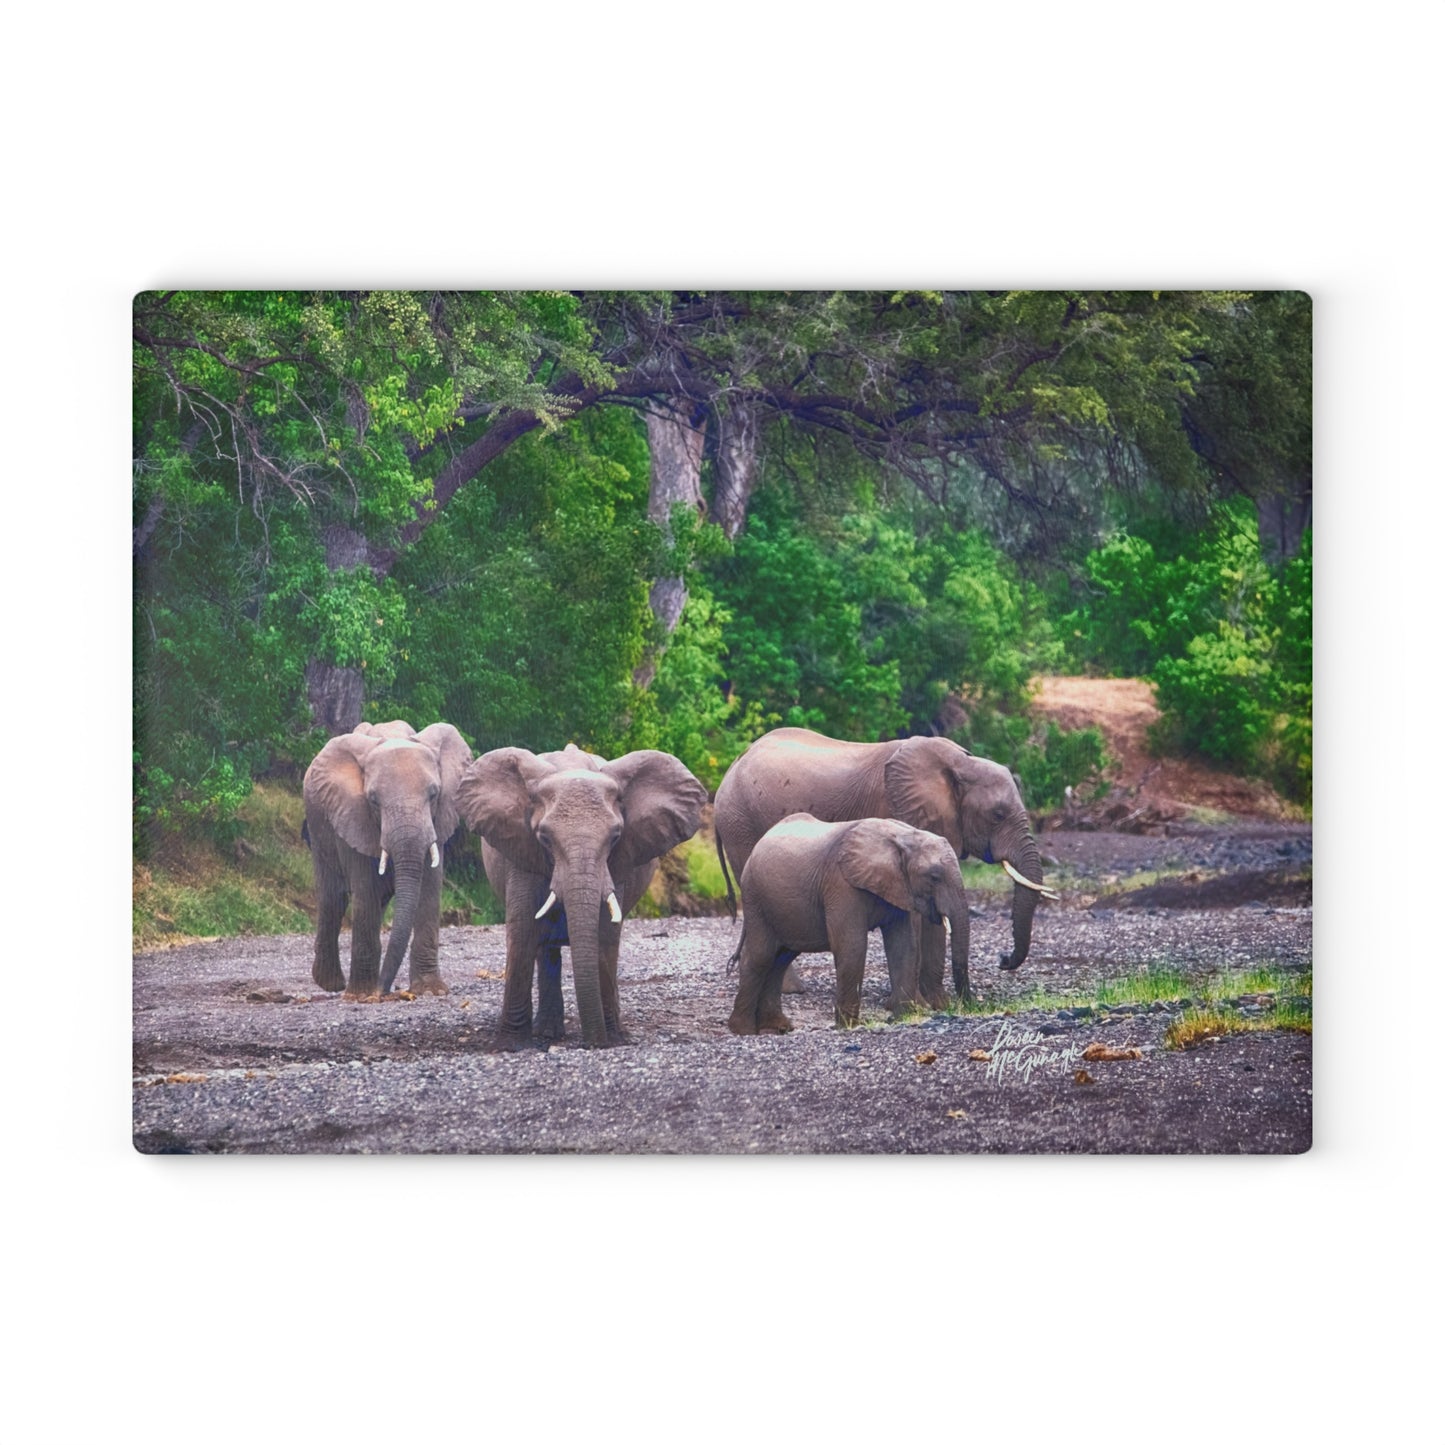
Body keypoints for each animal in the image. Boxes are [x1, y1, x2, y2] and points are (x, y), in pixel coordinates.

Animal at [303, 720, 472, 1000]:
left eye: (434, 794)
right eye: (373, 800)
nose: (382, 991)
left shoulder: (437, 821)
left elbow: (429, 891)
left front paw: (430, 991)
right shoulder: (354, 816)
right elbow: (366, 893)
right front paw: (362, 996)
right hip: (317, 826)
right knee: (334, 899)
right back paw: (332, 984)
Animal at [458, 744, 707, 1049]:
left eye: (615, 837)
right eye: (544, 838)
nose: (594, 1043)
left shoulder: (617, 865)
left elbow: (605, 934)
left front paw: (612, 1039)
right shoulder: (521, 850)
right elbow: (523, 931)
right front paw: (510, 1045)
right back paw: (547, 1033)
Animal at [713, 727, 1058, 1007]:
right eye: (998, 815)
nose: (1003, 959)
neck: (960, 764)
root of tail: (731, 768)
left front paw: (938, 1004)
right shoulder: (894, 810)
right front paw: (917, 1003)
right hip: (741, 824)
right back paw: (790, 990)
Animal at [727, 814, 973, 1034]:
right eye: (934, 877)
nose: (969, 1006)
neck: (903, 836)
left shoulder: (898, 887)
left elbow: (904, 947)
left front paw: (904, 1018)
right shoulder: (841, 883)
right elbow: (852, 946)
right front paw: (849, 1026)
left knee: (781, 958)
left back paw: (777, 1028)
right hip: (755, 897)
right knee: (761, 956)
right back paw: (743, 1030)